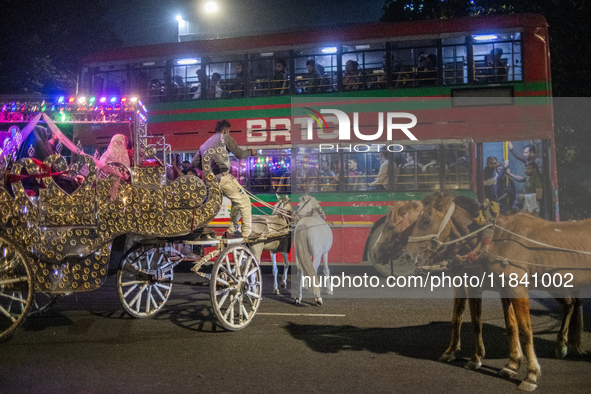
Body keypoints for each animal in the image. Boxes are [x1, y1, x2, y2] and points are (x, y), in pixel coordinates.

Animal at [404, 194, 588, 390]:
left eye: (426, 220)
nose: (408, 254)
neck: (493, 239)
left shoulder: (506, 287)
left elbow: (520, 329)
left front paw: (529, 375)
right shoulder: (487, 285)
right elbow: (496, 324)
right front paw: (509, 364)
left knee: (572, 304)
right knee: (571, 304)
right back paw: (563, 345)